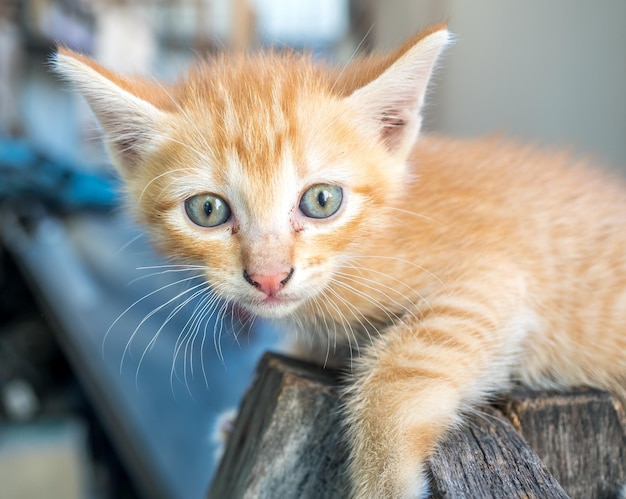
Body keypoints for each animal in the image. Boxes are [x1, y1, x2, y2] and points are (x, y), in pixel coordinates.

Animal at [54, 24, 624, 499]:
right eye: (207, 210)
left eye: (322, 201)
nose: (268, 277)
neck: (369, 244)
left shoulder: (495, 279)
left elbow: (401, 367)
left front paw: (384, 481)